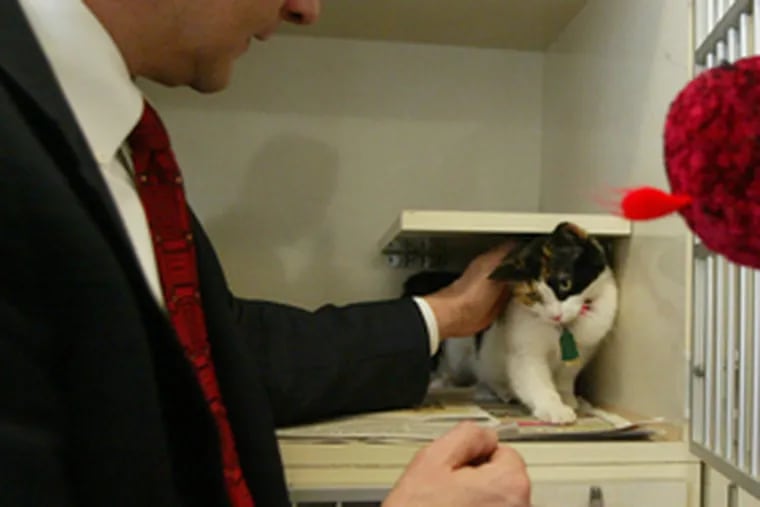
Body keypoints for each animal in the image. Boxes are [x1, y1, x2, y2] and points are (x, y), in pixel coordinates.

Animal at [478, 222, 620, 424]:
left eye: (565, 283)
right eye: (533, 296)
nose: (556, 315)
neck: (561, 329)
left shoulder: (584, 348)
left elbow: (567, 375)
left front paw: (567, 397)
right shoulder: (525, 350)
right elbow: (534, 378)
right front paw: (553, 407)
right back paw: (505, 391)